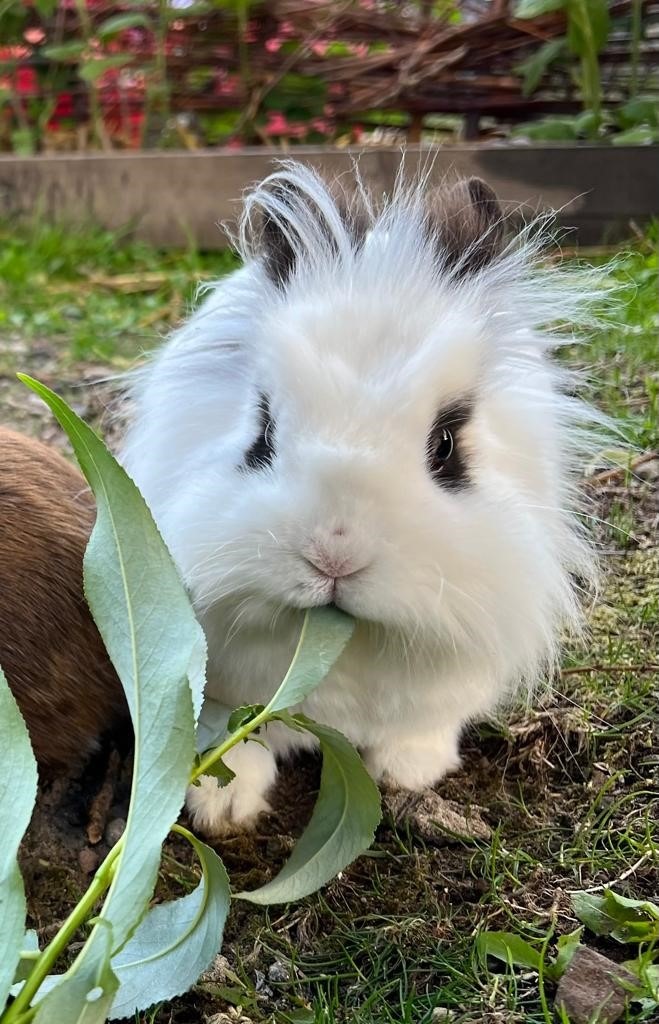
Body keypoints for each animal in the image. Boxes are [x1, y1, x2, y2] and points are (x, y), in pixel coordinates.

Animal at [119, 159, 597, 831]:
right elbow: (235, 734)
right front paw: (223, 803)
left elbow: (422, 725)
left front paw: (410, 769)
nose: (334, 554)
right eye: (262, 432)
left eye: (446, 445)